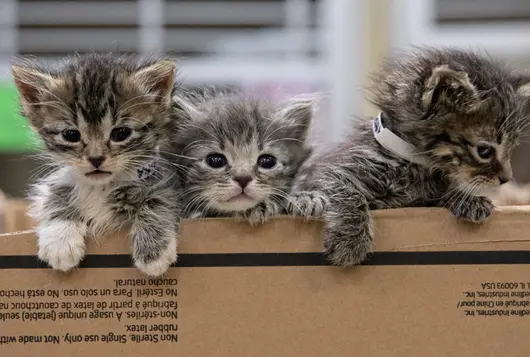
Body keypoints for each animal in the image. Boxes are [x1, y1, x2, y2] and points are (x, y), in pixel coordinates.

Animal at [12, 52, 182, 276]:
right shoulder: (61, 178)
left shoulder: (171, 179)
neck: (101, 187)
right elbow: (54, 193)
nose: (96, 158)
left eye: (121, 133)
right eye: (71, 135)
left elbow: (159, 198)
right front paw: (60, 240)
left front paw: (153, 252)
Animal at [292, 46, 528, 264]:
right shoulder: (328, 172)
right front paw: (350, 240)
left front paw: (468, 199)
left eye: (512, 147)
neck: (415, 164)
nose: (506, 178)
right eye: (484, 151)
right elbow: (346, 192)